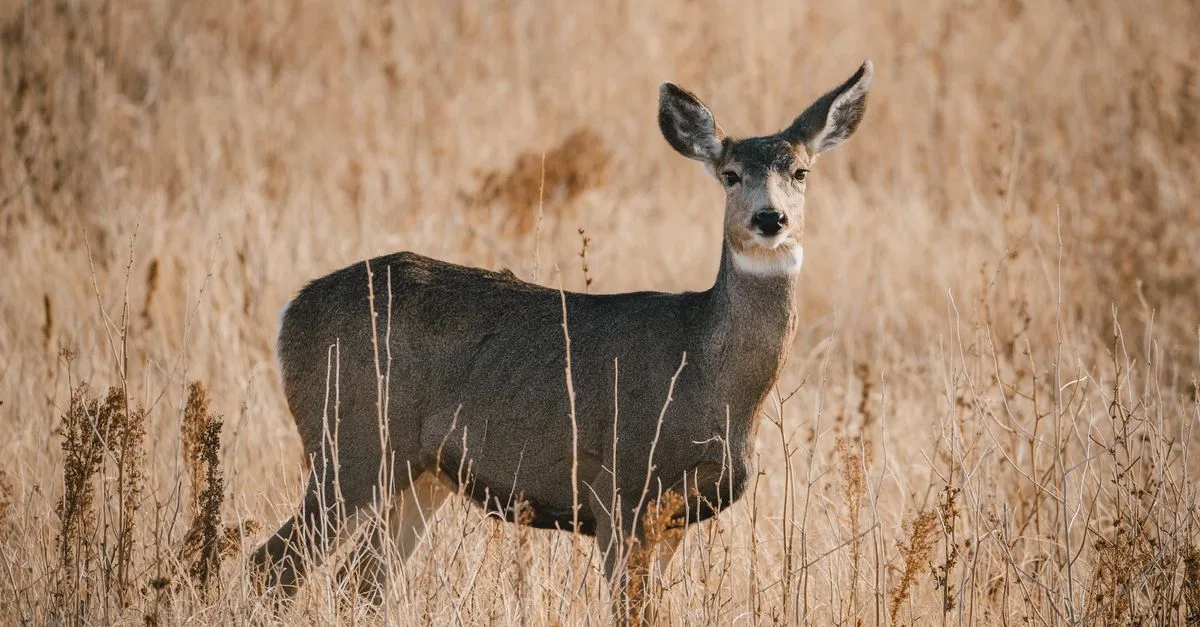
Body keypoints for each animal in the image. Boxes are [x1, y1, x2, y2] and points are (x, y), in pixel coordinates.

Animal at [252, 61, 873, 616]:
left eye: (801, 172)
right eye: (730, 174)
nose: (770, 219)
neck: (707, 372)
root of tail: (289, 313)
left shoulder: (675, 515)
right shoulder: (621, 491)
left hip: (419, 473)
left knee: (360, 583)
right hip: (349, 442)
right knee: (273, 565)